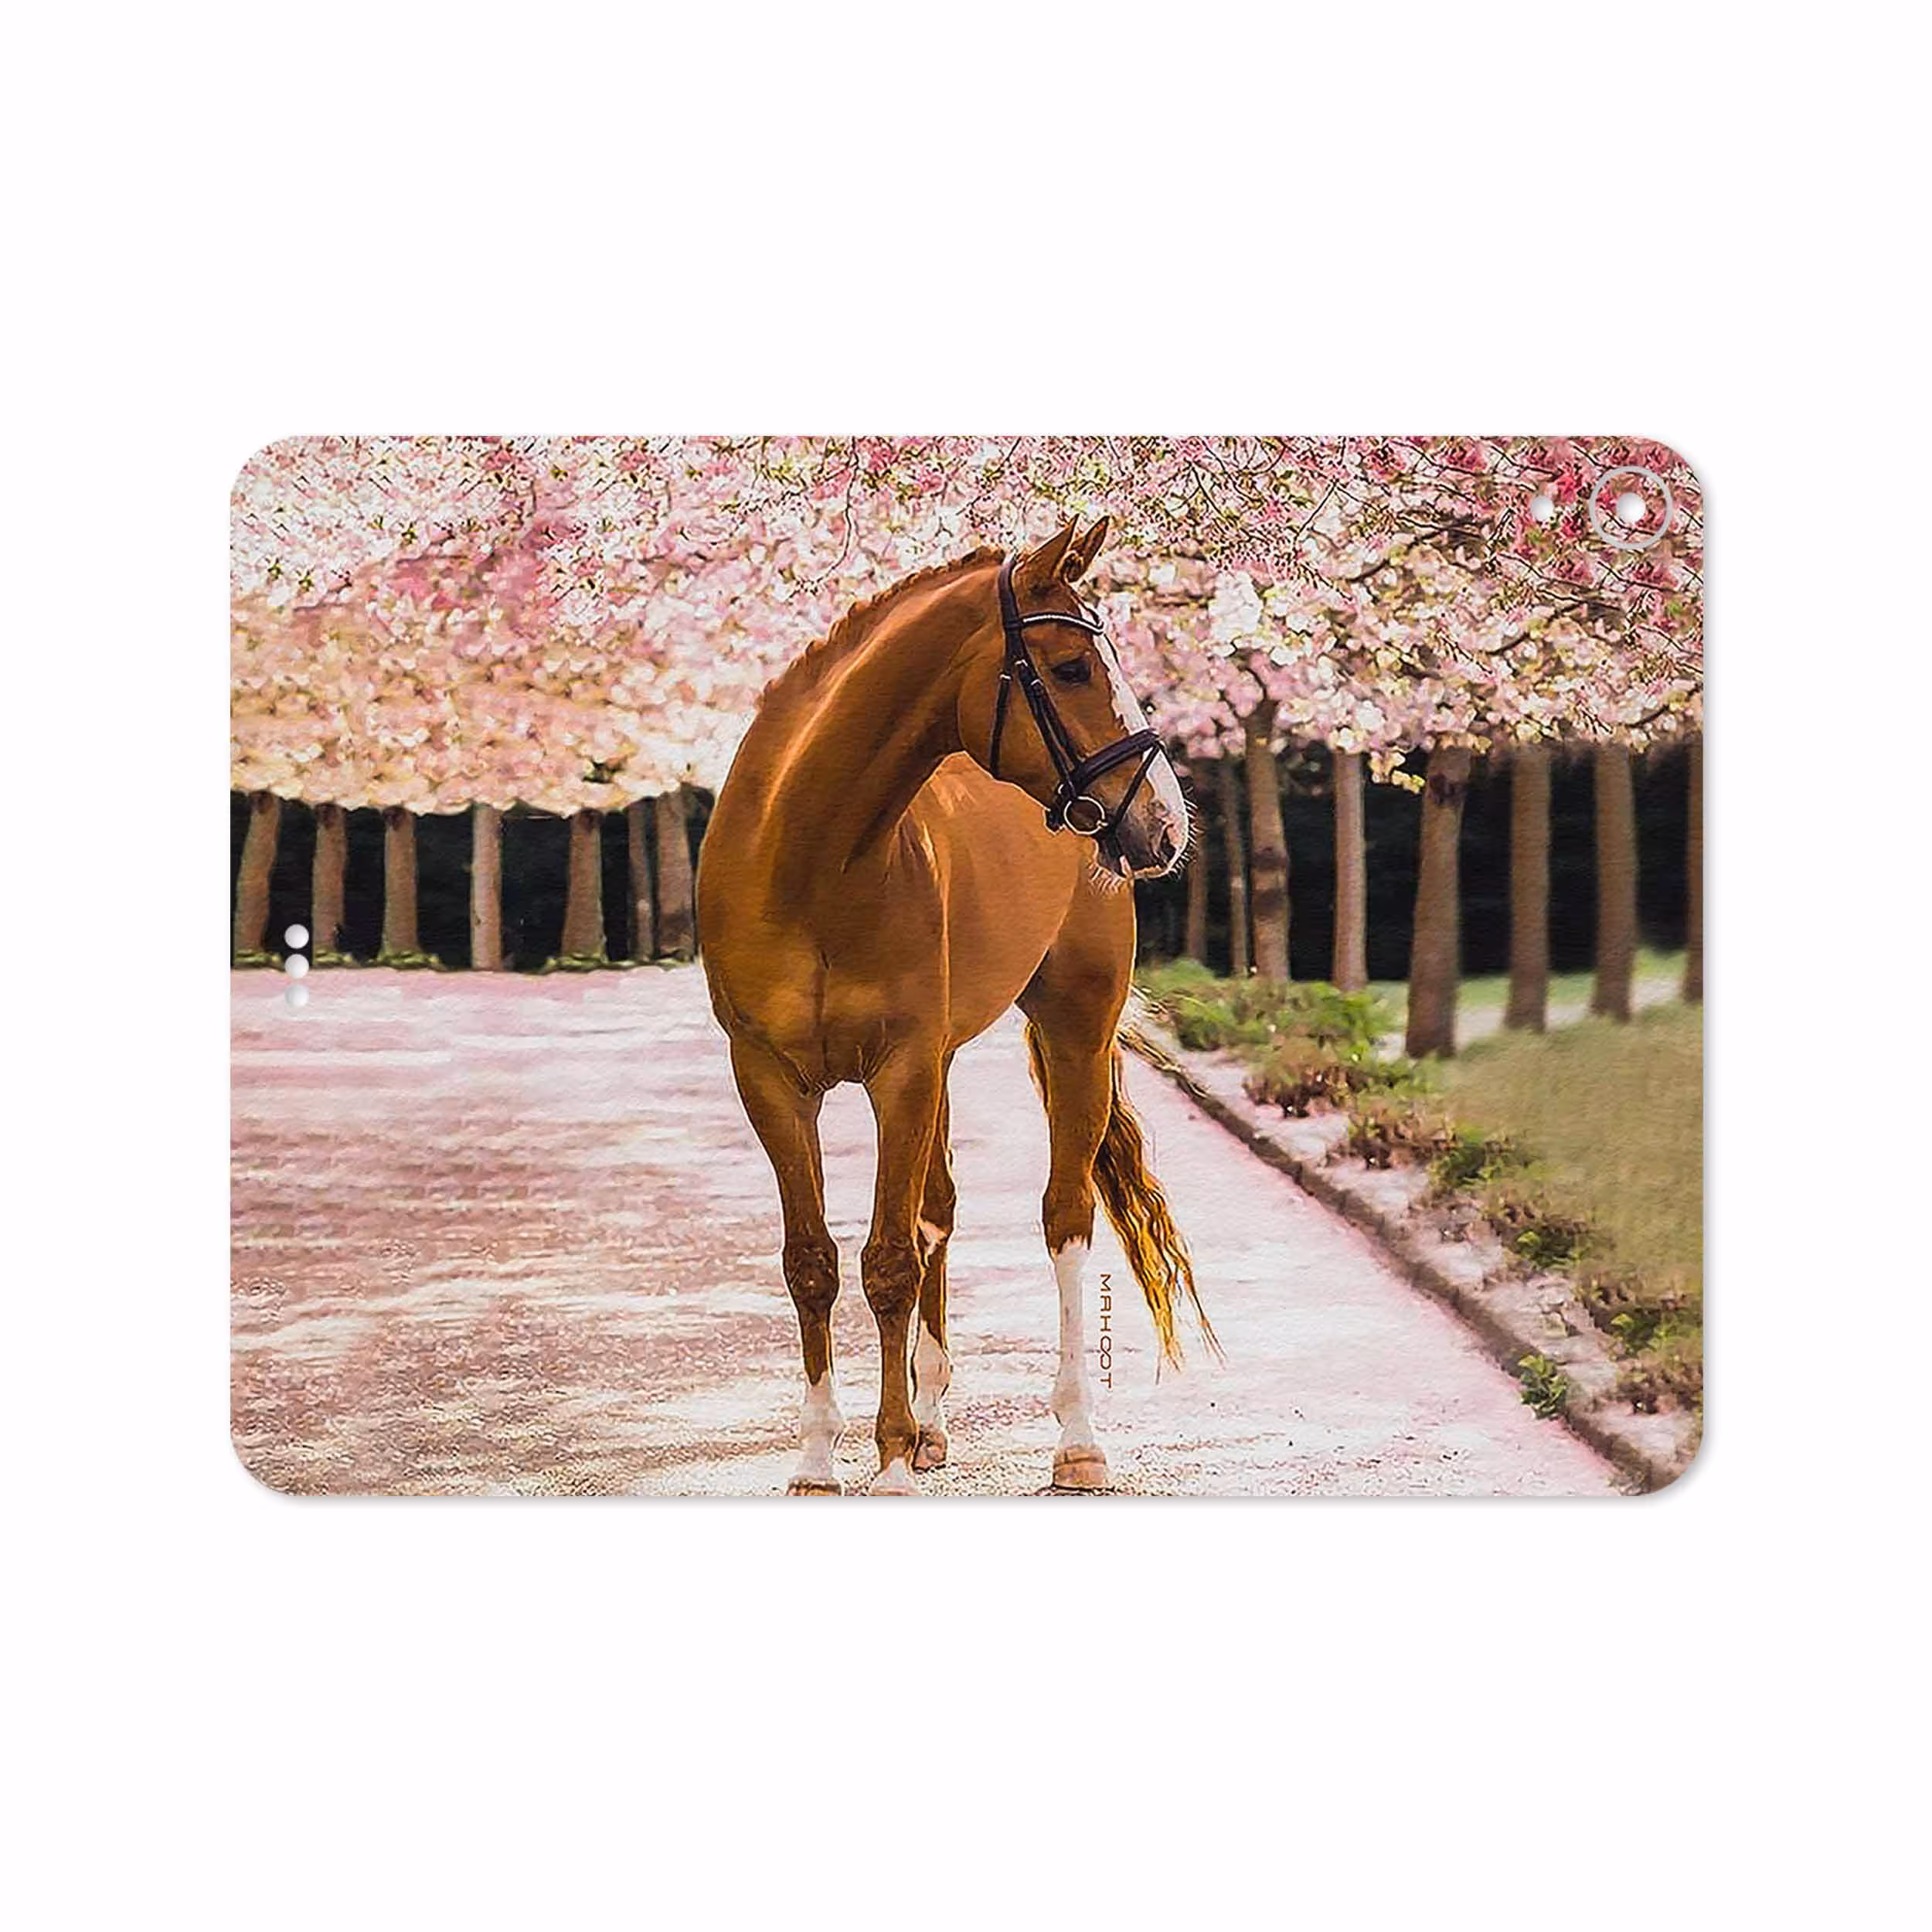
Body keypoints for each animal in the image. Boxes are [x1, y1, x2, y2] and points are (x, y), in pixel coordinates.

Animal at [696, 517, 1215, 1495]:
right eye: (1071, 668)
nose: (1165, 824)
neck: (811, 859)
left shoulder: (899, 1069)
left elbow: (888, 1259)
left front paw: (890, 1460)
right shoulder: (772, 1078)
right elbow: (813, 1260)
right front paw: (821, 1458)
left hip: (1073, 1033)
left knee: (1063, 1217)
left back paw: (1074, 1439)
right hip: (938, 1063)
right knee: (937, 1207)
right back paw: (934, 1420)